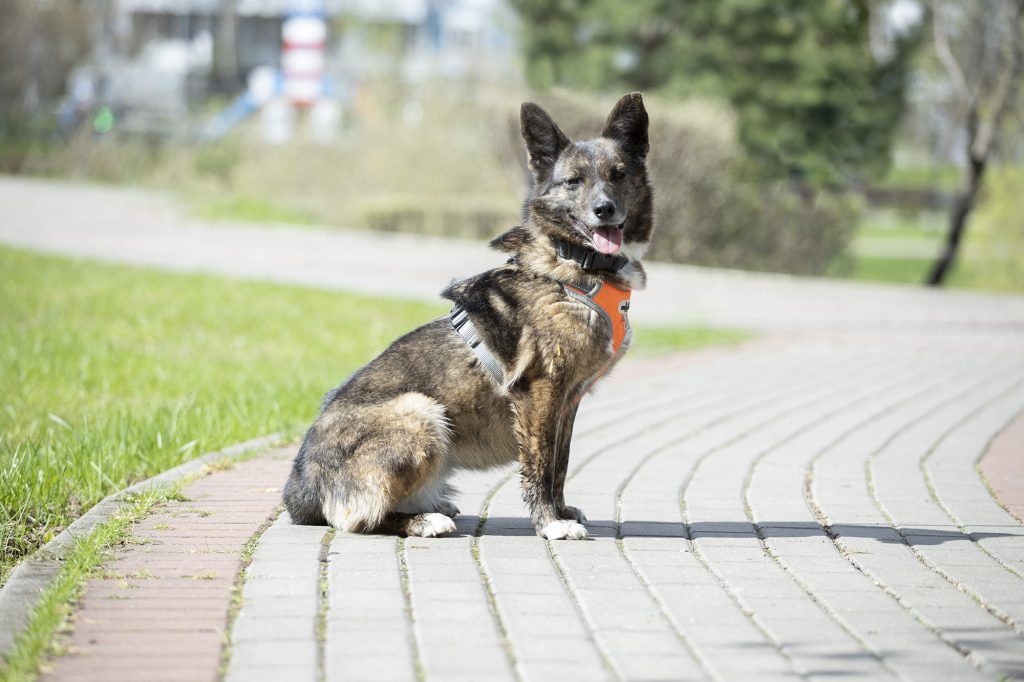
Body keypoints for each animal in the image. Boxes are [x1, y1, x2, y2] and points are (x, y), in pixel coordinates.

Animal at [284, 91, 651, 536]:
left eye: (618, 174)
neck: (574, 264)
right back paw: (425, 520)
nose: (605, 209)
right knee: (357, 519)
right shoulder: (542, 392)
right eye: (573, 181)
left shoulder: (568, 401)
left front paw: (561, 512)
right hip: (421, 411)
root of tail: (301, 490)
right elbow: (541, 465)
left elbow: (560, 464)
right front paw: (549, 523)